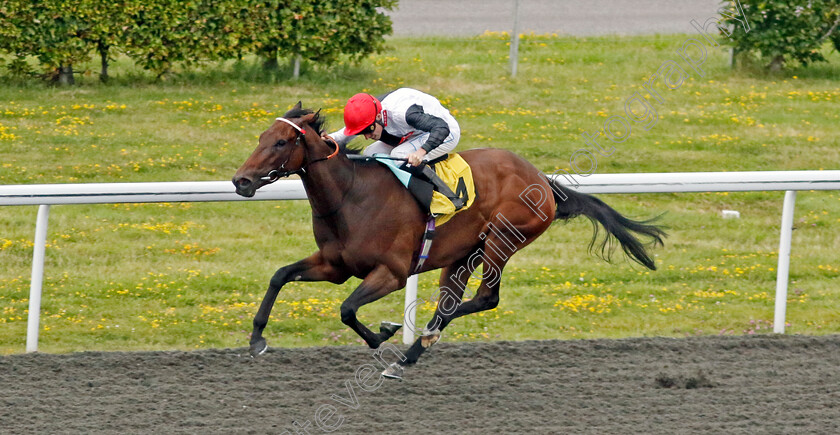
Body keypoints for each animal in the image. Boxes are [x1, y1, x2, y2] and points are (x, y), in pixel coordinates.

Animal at [231, 104, 664, 380]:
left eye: (282, 142)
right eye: (261, 136)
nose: (241, 181)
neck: (352, 195)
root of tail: (544, 180)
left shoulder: (392, 273)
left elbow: (347, 309)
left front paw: (384, 333)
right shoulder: (334, 265)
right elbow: (280, 275)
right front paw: (257, 339)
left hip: (501, 241)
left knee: (484, 298)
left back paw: (419, 339)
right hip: (462, 254)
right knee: (453, 302)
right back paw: (411, 353)